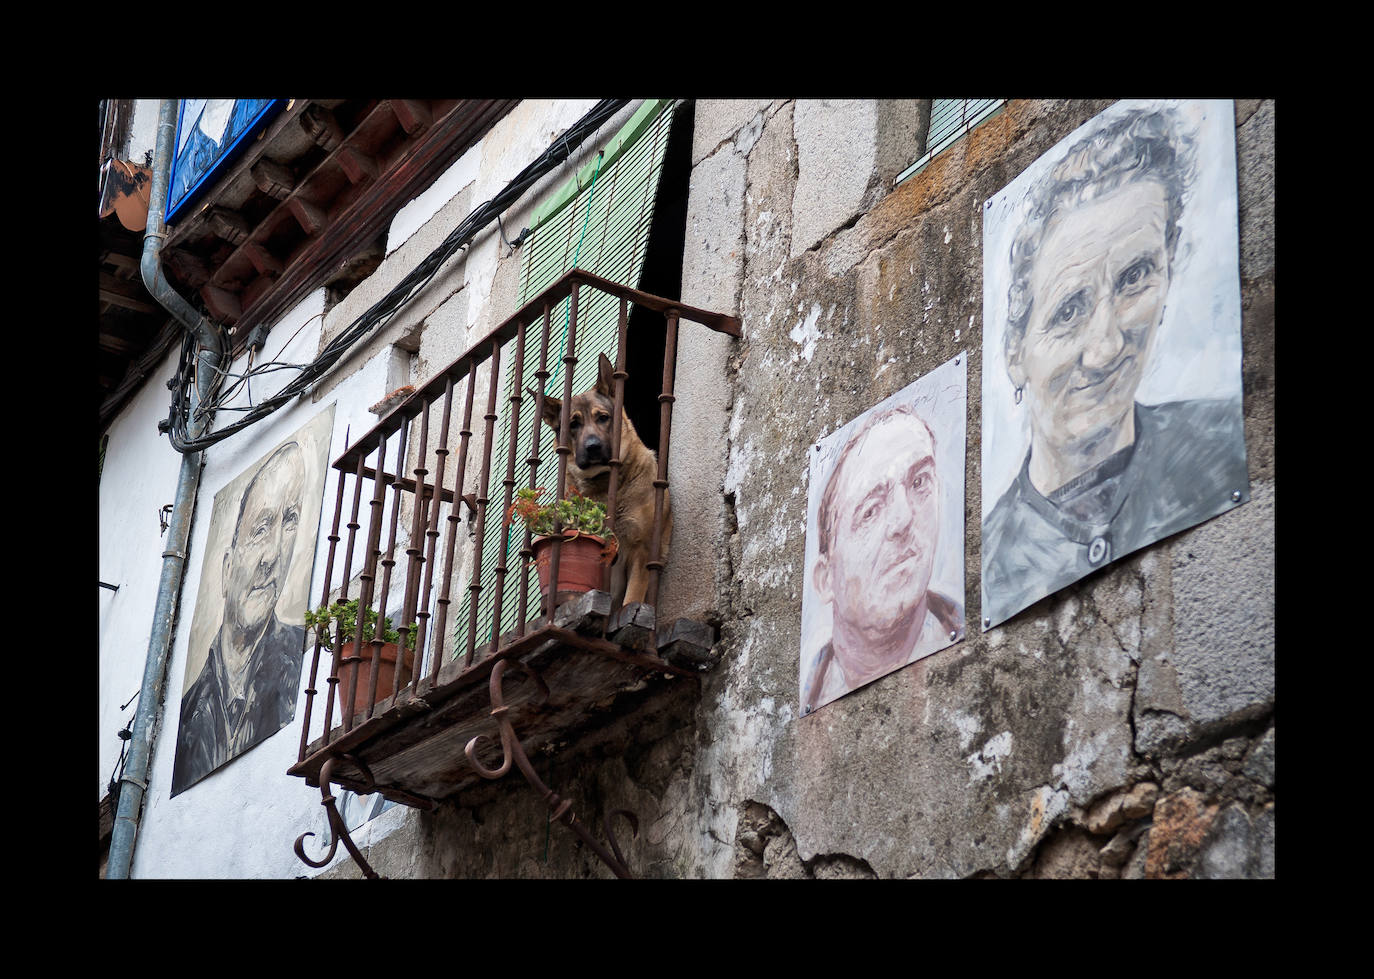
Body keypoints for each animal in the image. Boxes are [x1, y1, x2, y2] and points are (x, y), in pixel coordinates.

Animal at [530, 351, 670, 609]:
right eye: (573, 424)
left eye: (603, 418)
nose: (592, 447)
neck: (604, 484)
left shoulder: (641, 551)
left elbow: (631, 600)